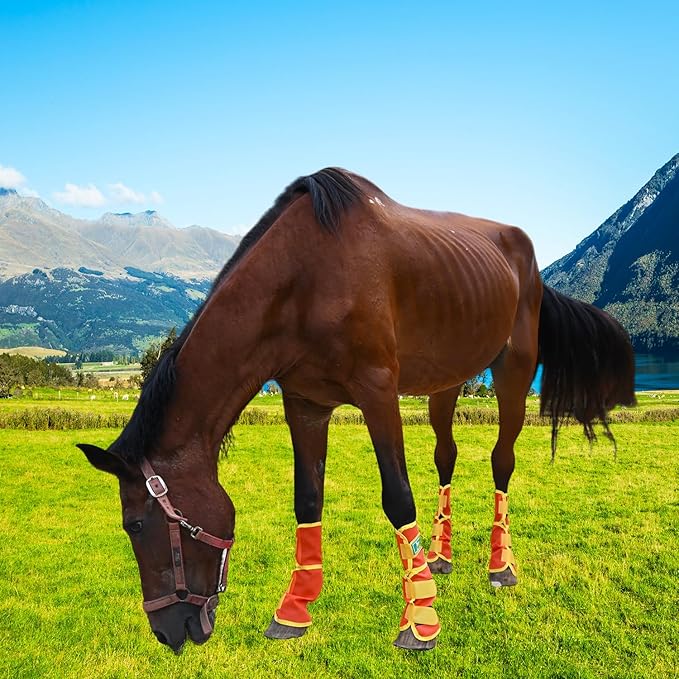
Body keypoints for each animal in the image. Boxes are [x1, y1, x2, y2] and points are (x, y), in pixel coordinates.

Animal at [77, 168, 635, 653]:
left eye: (136, 525)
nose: (167, 631)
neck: (304, 278)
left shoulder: (378, 393)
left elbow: (398, 499)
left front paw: (421, 619)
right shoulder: (305, 404)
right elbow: (307, 500)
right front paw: (294, 609)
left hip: (514, 370)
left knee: (502, 460)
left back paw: (501, 566)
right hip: (447, 380)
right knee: (447, 456)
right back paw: (441, 555)